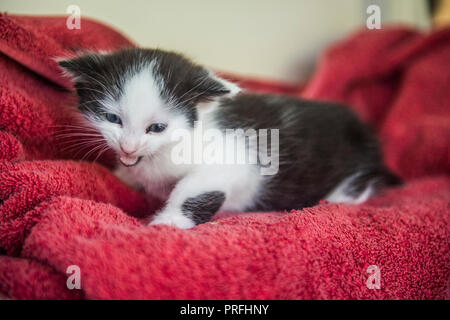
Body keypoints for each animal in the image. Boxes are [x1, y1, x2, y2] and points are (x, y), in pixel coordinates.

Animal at [59, 47, 400, 229]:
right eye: (112, 119)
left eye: (157, 127)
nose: (128, 146)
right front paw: (125, 173)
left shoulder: (237, 160)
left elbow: (194, 187)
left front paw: (169, 222)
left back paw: (342, 196)